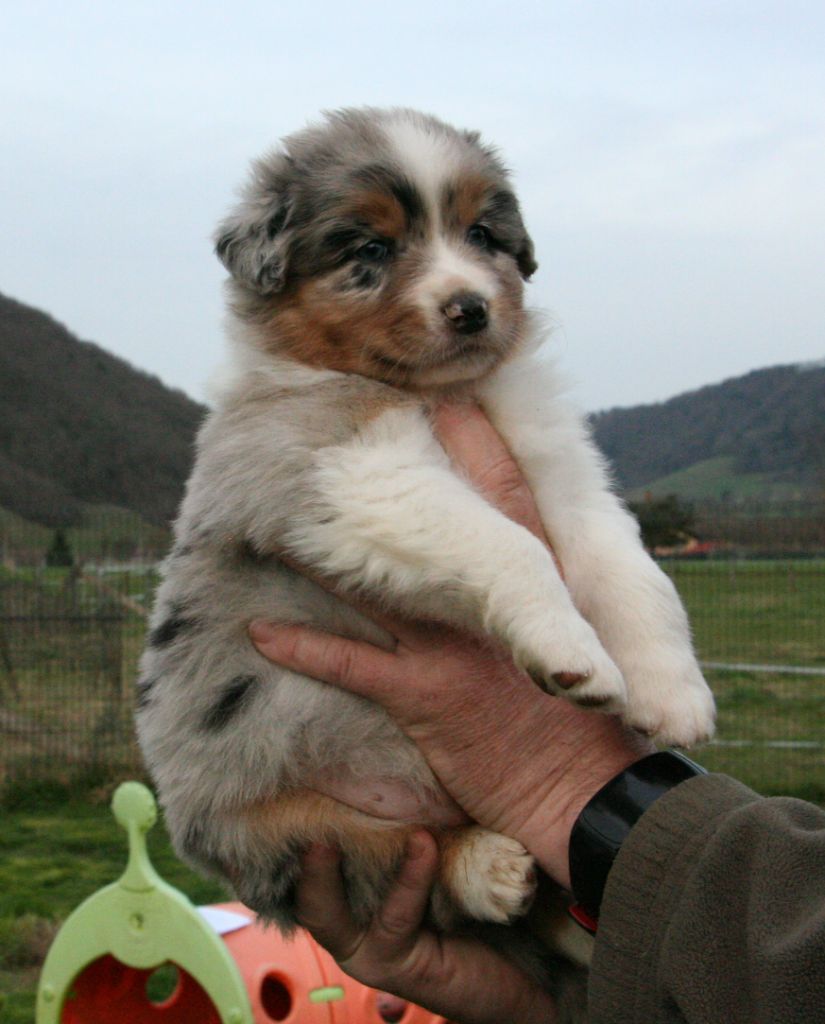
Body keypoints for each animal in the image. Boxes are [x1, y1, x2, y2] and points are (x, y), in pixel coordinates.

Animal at [136, 107, 715, 1009]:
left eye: (482, 234)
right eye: (369, 249)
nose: (470, 308)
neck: (440, 392)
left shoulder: (565, 477)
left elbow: (633, 573)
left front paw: (671, 695)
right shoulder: (345, 470)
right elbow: (508, 542)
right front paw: (574, 655)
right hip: (294, 832)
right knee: (411, 870)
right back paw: (486, 868)